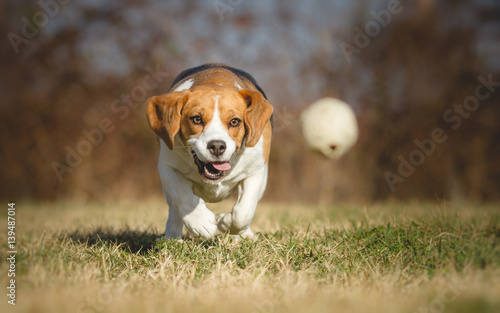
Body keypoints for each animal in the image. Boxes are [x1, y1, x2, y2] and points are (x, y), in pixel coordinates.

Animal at [146, 63, 274, 239]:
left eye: (235, 122)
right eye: (196, 119)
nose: (217, 146)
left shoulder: (256, 172)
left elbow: (243, 212)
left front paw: (226, 223)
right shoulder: (167, 167)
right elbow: (181, 194)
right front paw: (200, 222)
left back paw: (244, 235)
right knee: (174, 209)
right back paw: (172, 237)